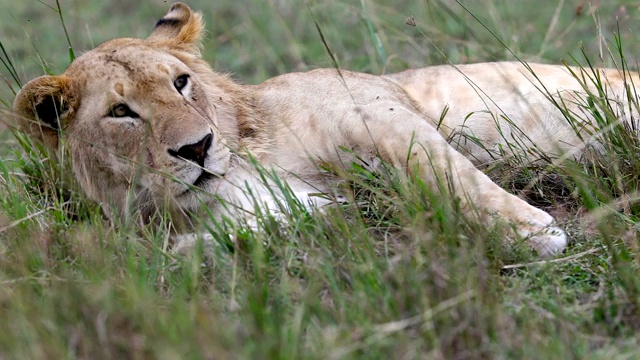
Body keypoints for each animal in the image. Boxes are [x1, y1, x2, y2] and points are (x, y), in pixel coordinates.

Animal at [12, 2, 636, 256]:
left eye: (181, 82)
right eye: (122, 113)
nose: (198, 147)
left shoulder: (377, 110)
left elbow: (446, 172)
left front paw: (528, 230)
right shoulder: (292, 211)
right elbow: (203, 247)